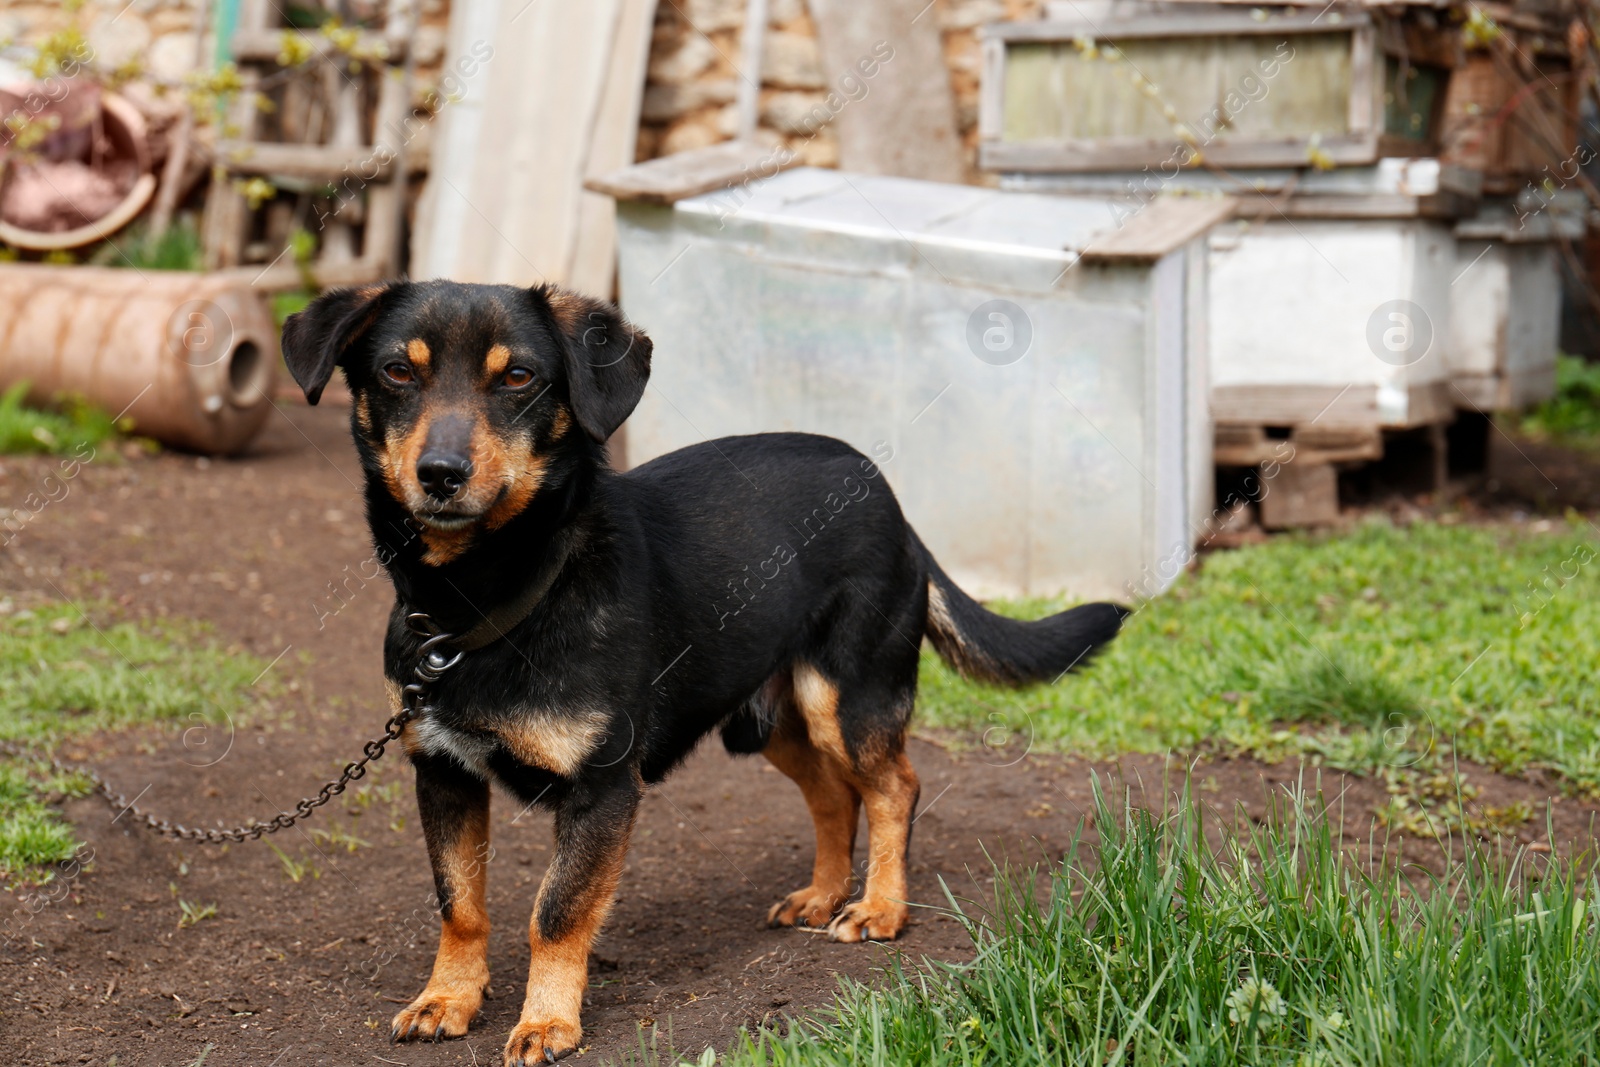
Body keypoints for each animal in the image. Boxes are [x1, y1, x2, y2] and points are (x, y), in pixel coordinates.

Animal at [278, 279, 1126, 1062]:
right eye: (397, 371)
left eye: (518, 377)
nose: (441, 473)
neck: (486, 597)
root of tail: (887, 492)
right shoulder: (444, 771)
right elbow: (460, 903)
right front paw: (448, 998)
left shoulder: (602, 787)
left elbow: (556, 911)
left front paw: (547, 1021)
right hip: (768, 718)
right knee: (833, 796)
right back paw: (822, 893)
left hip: (845, 695)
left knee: (893, 787)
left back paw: (879, 907)